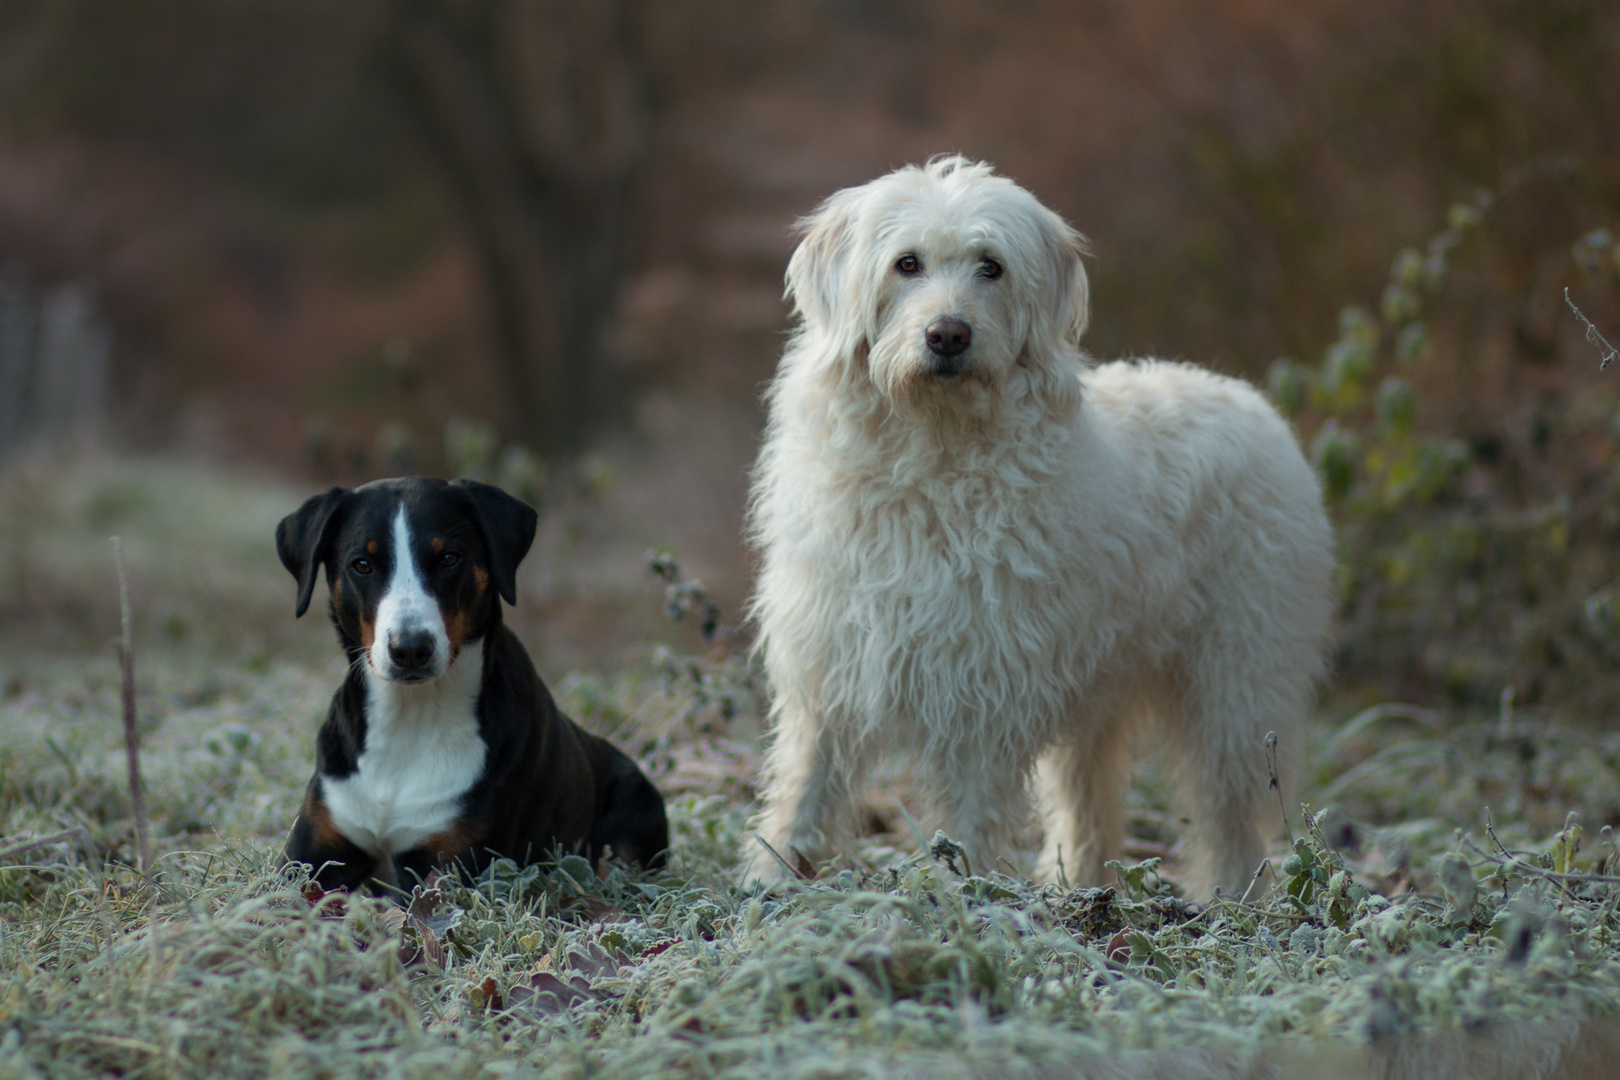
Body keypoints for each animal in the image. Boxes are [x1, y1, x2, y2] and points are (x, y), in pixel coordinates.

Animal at [275, 476, 667, 893]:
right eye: (362, 564)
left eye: (449, 558)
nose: (410, 648)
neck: (411, 717)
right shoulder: (310, 853)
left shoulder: (450, 863)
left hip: (634, 806)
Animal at [741, 153, 1328, 893]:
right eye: (907, 264)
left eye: (990, 266)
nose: (948, 335)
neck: (931, 456)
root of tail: (1252, 402)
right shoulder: (828, 679)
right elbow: (803, 796)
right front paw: (770, 885)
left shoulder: (982, 700)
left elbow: (968, 824)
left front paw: (962, 900)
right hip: (1100, 705)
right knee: (1090, 808)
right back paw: (1079, 889)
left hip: (1237, 689)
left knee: (1230, 818)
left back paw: (1232, 900)